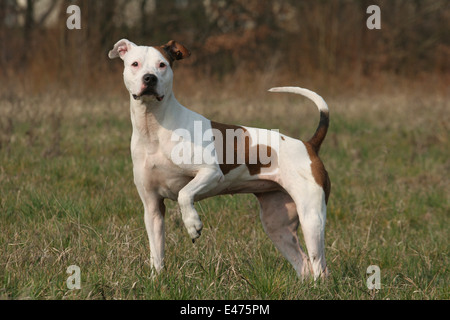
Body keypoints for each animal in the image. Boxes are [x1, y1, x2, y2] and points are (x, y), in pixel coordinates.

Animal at [107, 39, 328, 280]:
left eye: (162, 64)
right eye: (135, 64)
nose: (150, 78)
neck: (153, 127)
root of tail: (309, 145)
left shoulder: (211, 173)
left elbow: (185, 194)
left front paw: (192, 224)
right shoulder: (152, 207)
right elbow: (156, 253)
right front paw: (156, 281)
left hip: (311, 217)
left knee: (319, 265)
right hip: (278, 225)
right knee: (303, 263)